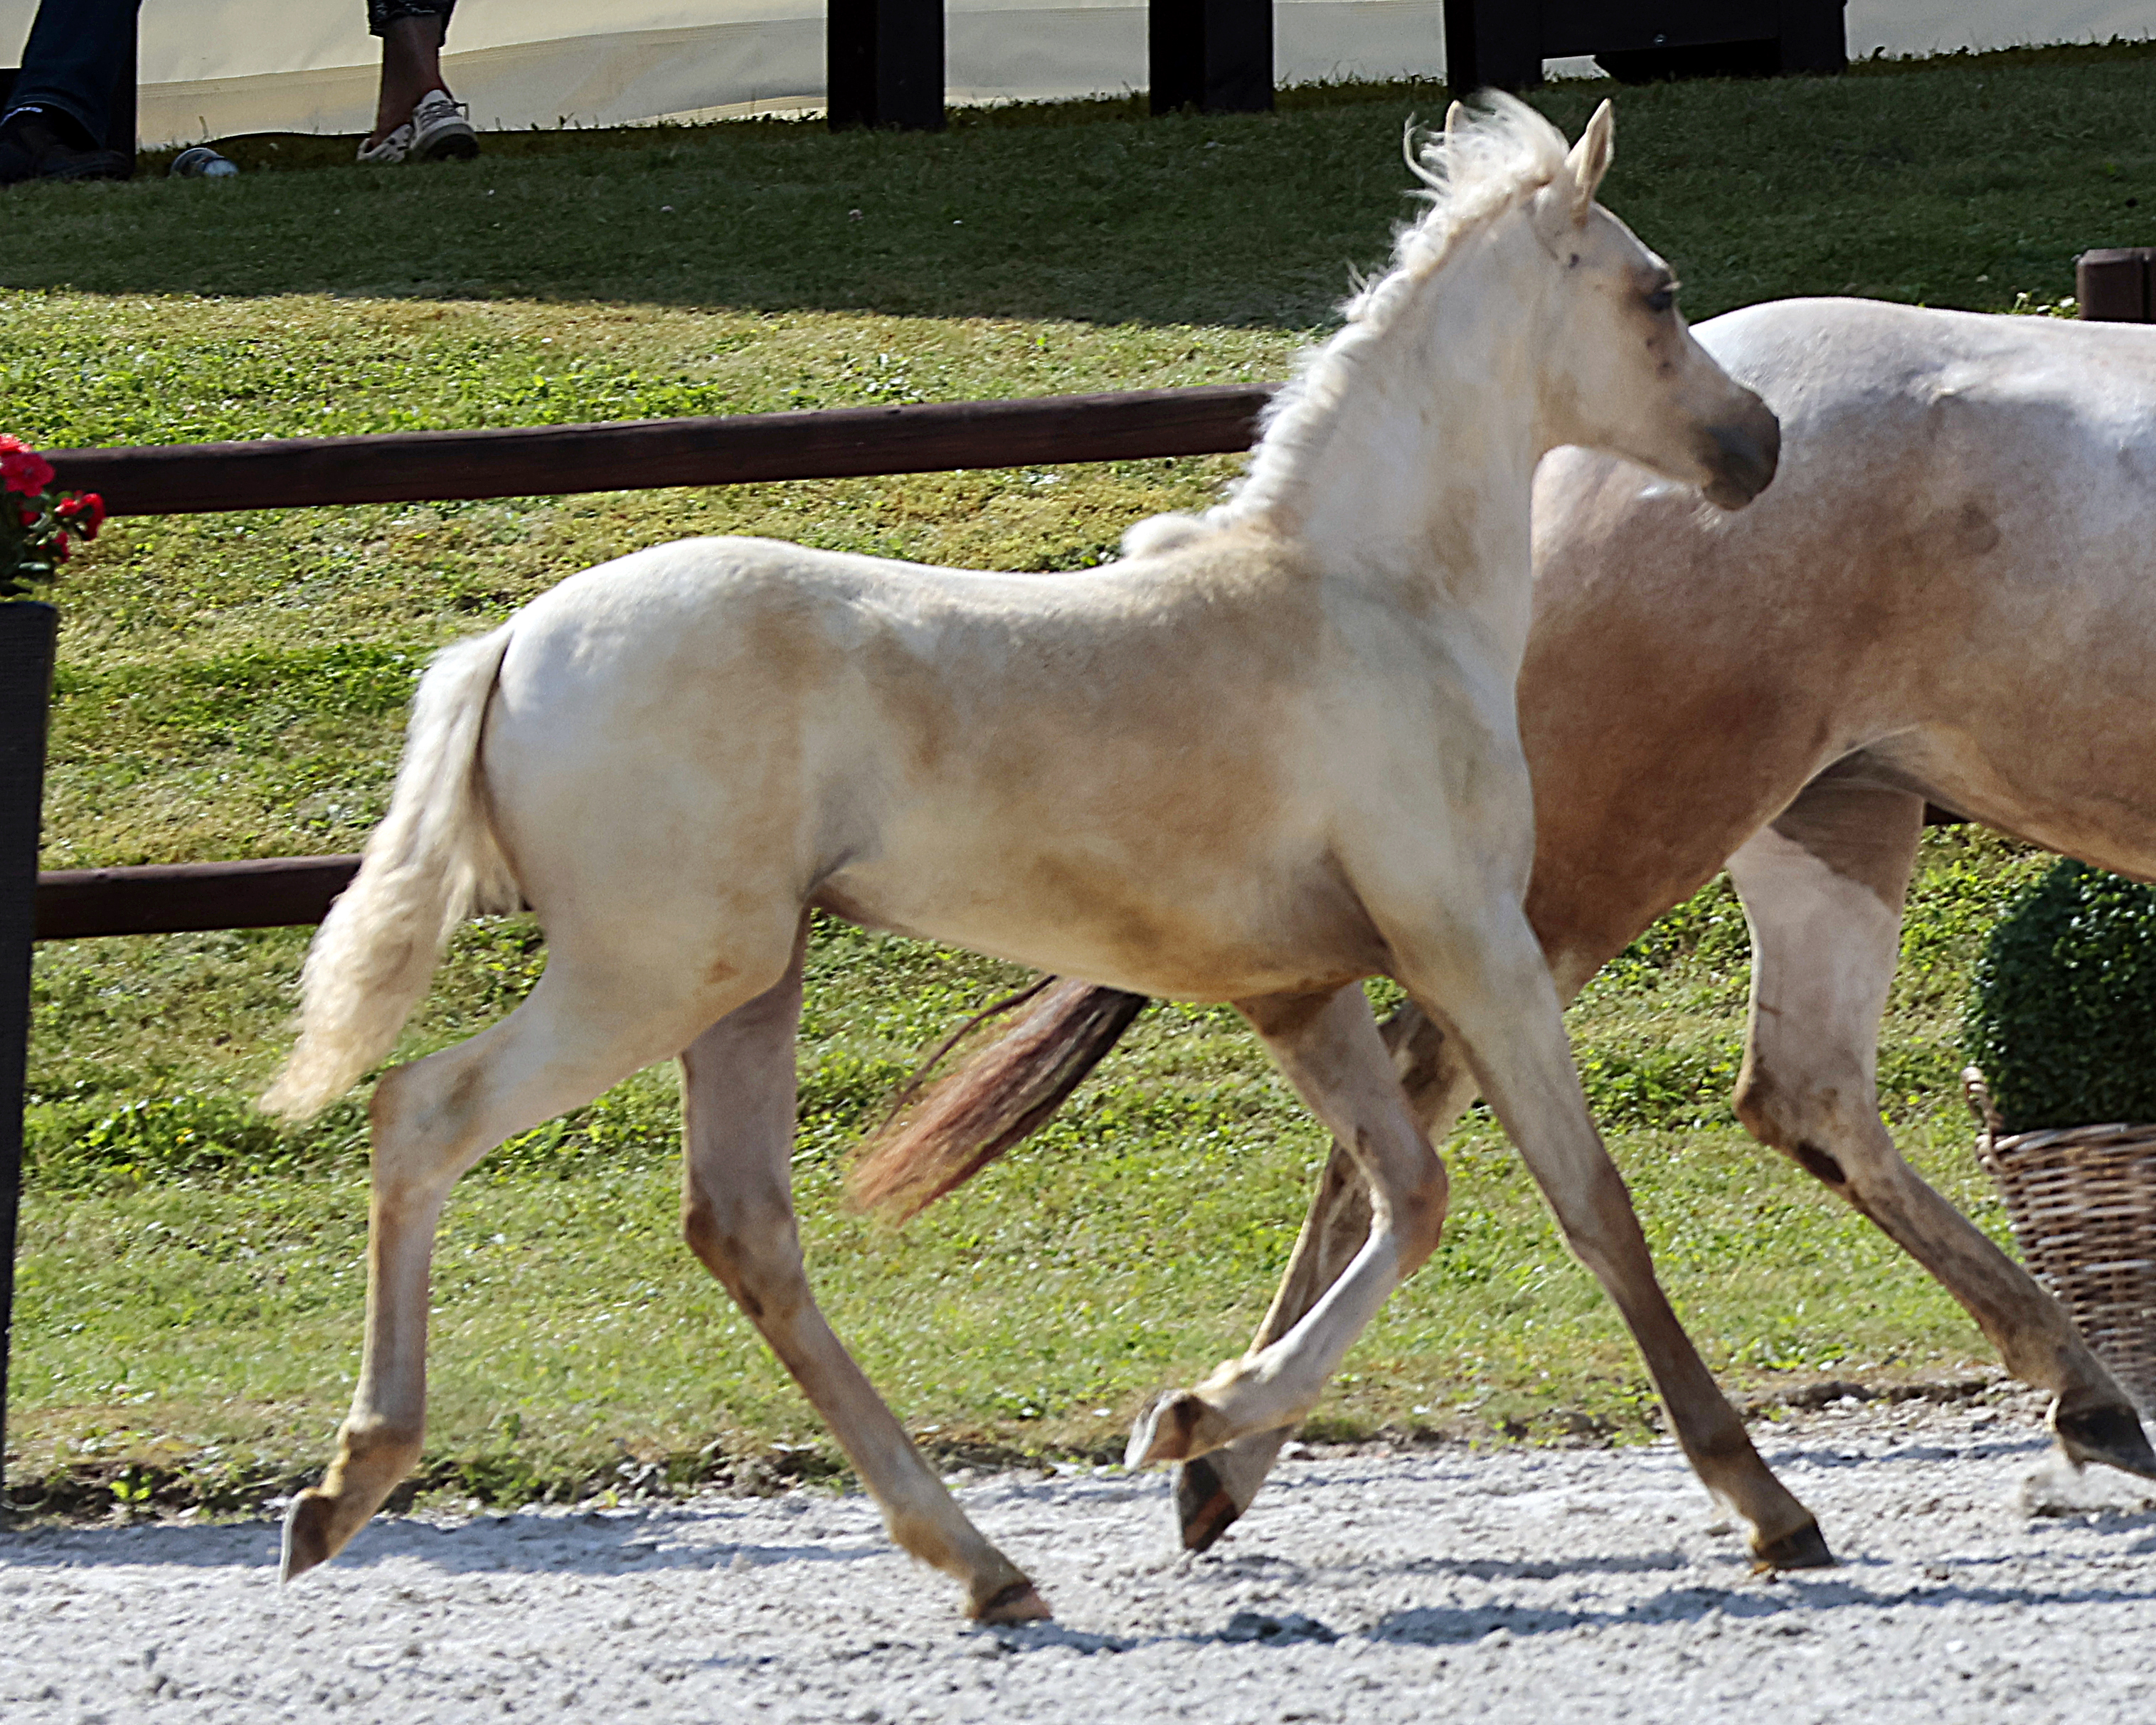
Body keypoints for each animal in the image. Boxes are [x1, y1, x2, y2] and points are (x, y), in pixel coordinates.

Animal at [261, 97, 1803, 1622]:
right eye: (1658, 291)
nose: (1761, 442)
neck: (1372, 597)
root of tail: (510, 641)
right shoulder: (1469, 942)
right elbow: (1590, 1206)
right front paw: (1767, 1505)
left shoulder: (1300, 987)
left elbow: (1408, 1197)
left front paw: (1198, 1426)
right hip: (655, 972)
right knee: (425, 1113)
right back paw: (347, 1483)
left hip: (745, 985)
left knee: (745, 1231)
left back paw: (983, 1563)